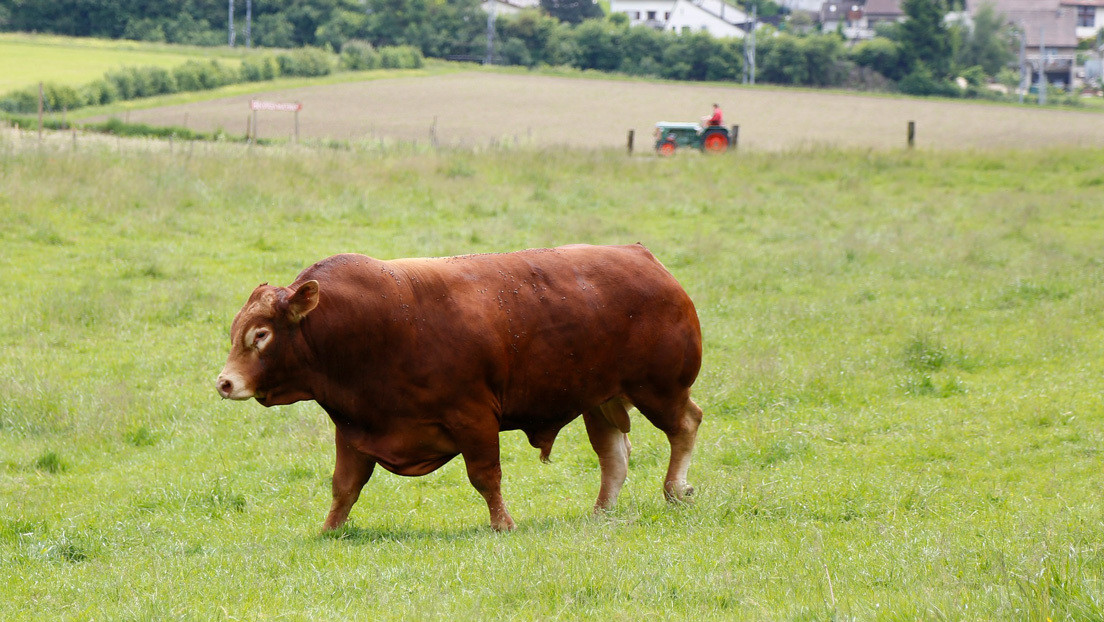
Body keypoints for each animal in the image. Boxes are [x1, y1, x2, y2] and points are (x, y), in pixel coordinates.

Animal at [216, 243, 702, 530]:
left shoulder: (474, 418)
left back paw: (675, 489)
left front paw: (503, 524)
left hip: (659, 390)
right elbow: (345, 486)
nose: (224, 382)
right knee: (614, 455)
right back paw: (603, 511)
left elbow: (486, 476)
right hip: (600, 401)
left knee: (686, 425)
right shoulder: (354, 430)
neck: (373, 327)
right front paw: (329, 530)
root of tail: (642, 256)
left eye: (261, 334)